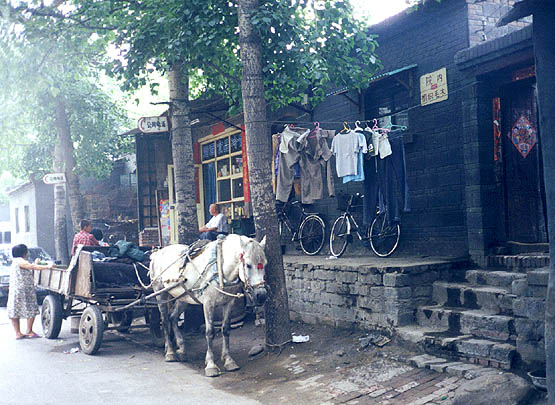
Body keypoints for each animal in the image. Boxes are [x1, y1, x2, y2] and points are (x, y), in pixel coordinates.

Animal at [149, 234, 267, 377]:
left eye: (264, 264)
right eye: (248, 265)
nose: (261, 295)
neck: (220, 268)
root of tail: (157, 253)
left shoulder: (229, 303)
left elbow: (226, 329)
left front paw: (228, 360)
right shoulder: (208, 303)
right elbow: (210, 332)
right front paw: (211, 365)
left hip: (183, 297)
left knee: (173, 317)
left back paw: (181, 349)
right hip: (160, 293)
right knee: (165, 321)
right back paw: (170, 353)